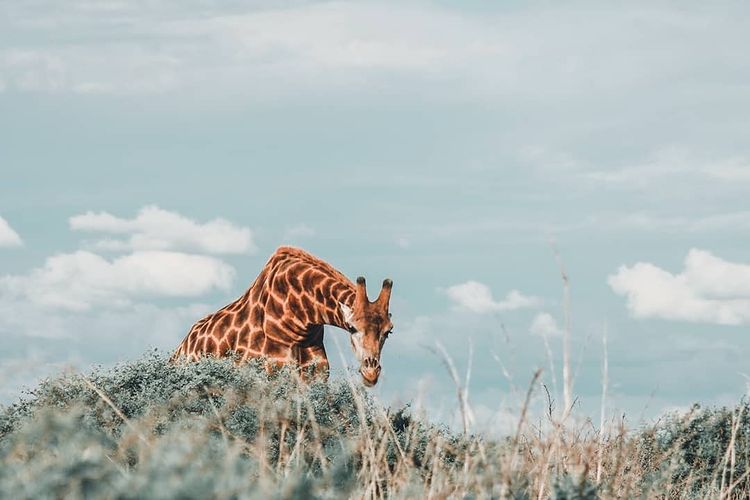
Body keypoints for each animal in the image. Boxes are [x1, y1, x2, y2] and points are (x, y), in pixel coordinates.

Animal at [171, 246, 394, 386]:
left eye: (389, 331)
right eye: (352, 327)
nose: (371, 373)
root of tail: (179, 351)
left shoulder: (316, 376)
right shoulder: (271, 374)